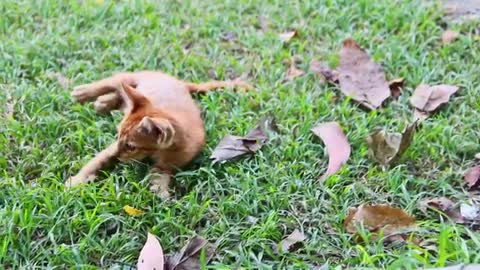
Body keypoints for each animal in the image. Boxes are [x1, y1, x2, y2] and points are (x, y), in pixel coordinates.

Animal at [66, 71, 253, 198]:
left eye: (131, 147)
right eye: (117, 136)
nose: (118, 157)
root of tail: (180, 83)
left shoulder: (168, 164)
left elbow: (160, 174)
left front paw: (160, 190)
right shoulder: (111, 149)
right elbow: (96, 162)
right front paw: (76, 181)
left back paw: (104, 102)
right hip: (130, 78)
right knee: (112, 81)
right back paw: (85, 93)